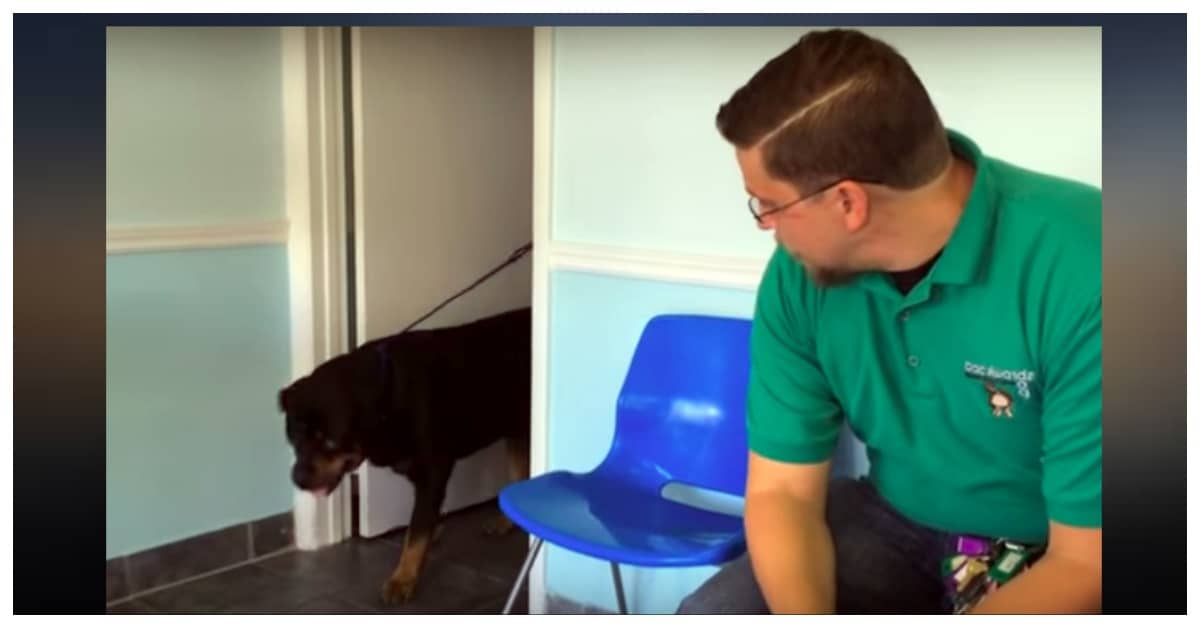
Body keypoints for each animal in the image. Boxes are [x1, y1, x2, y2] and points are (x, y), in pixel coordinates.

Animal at [279, 307, 531, 604]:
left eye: (330, 442)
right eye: (293, 437)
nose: (298, 479)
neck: (386, 397)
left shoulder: (433, 470)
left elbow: (417, 531)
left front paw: (403, 579)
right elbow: (422, 522)